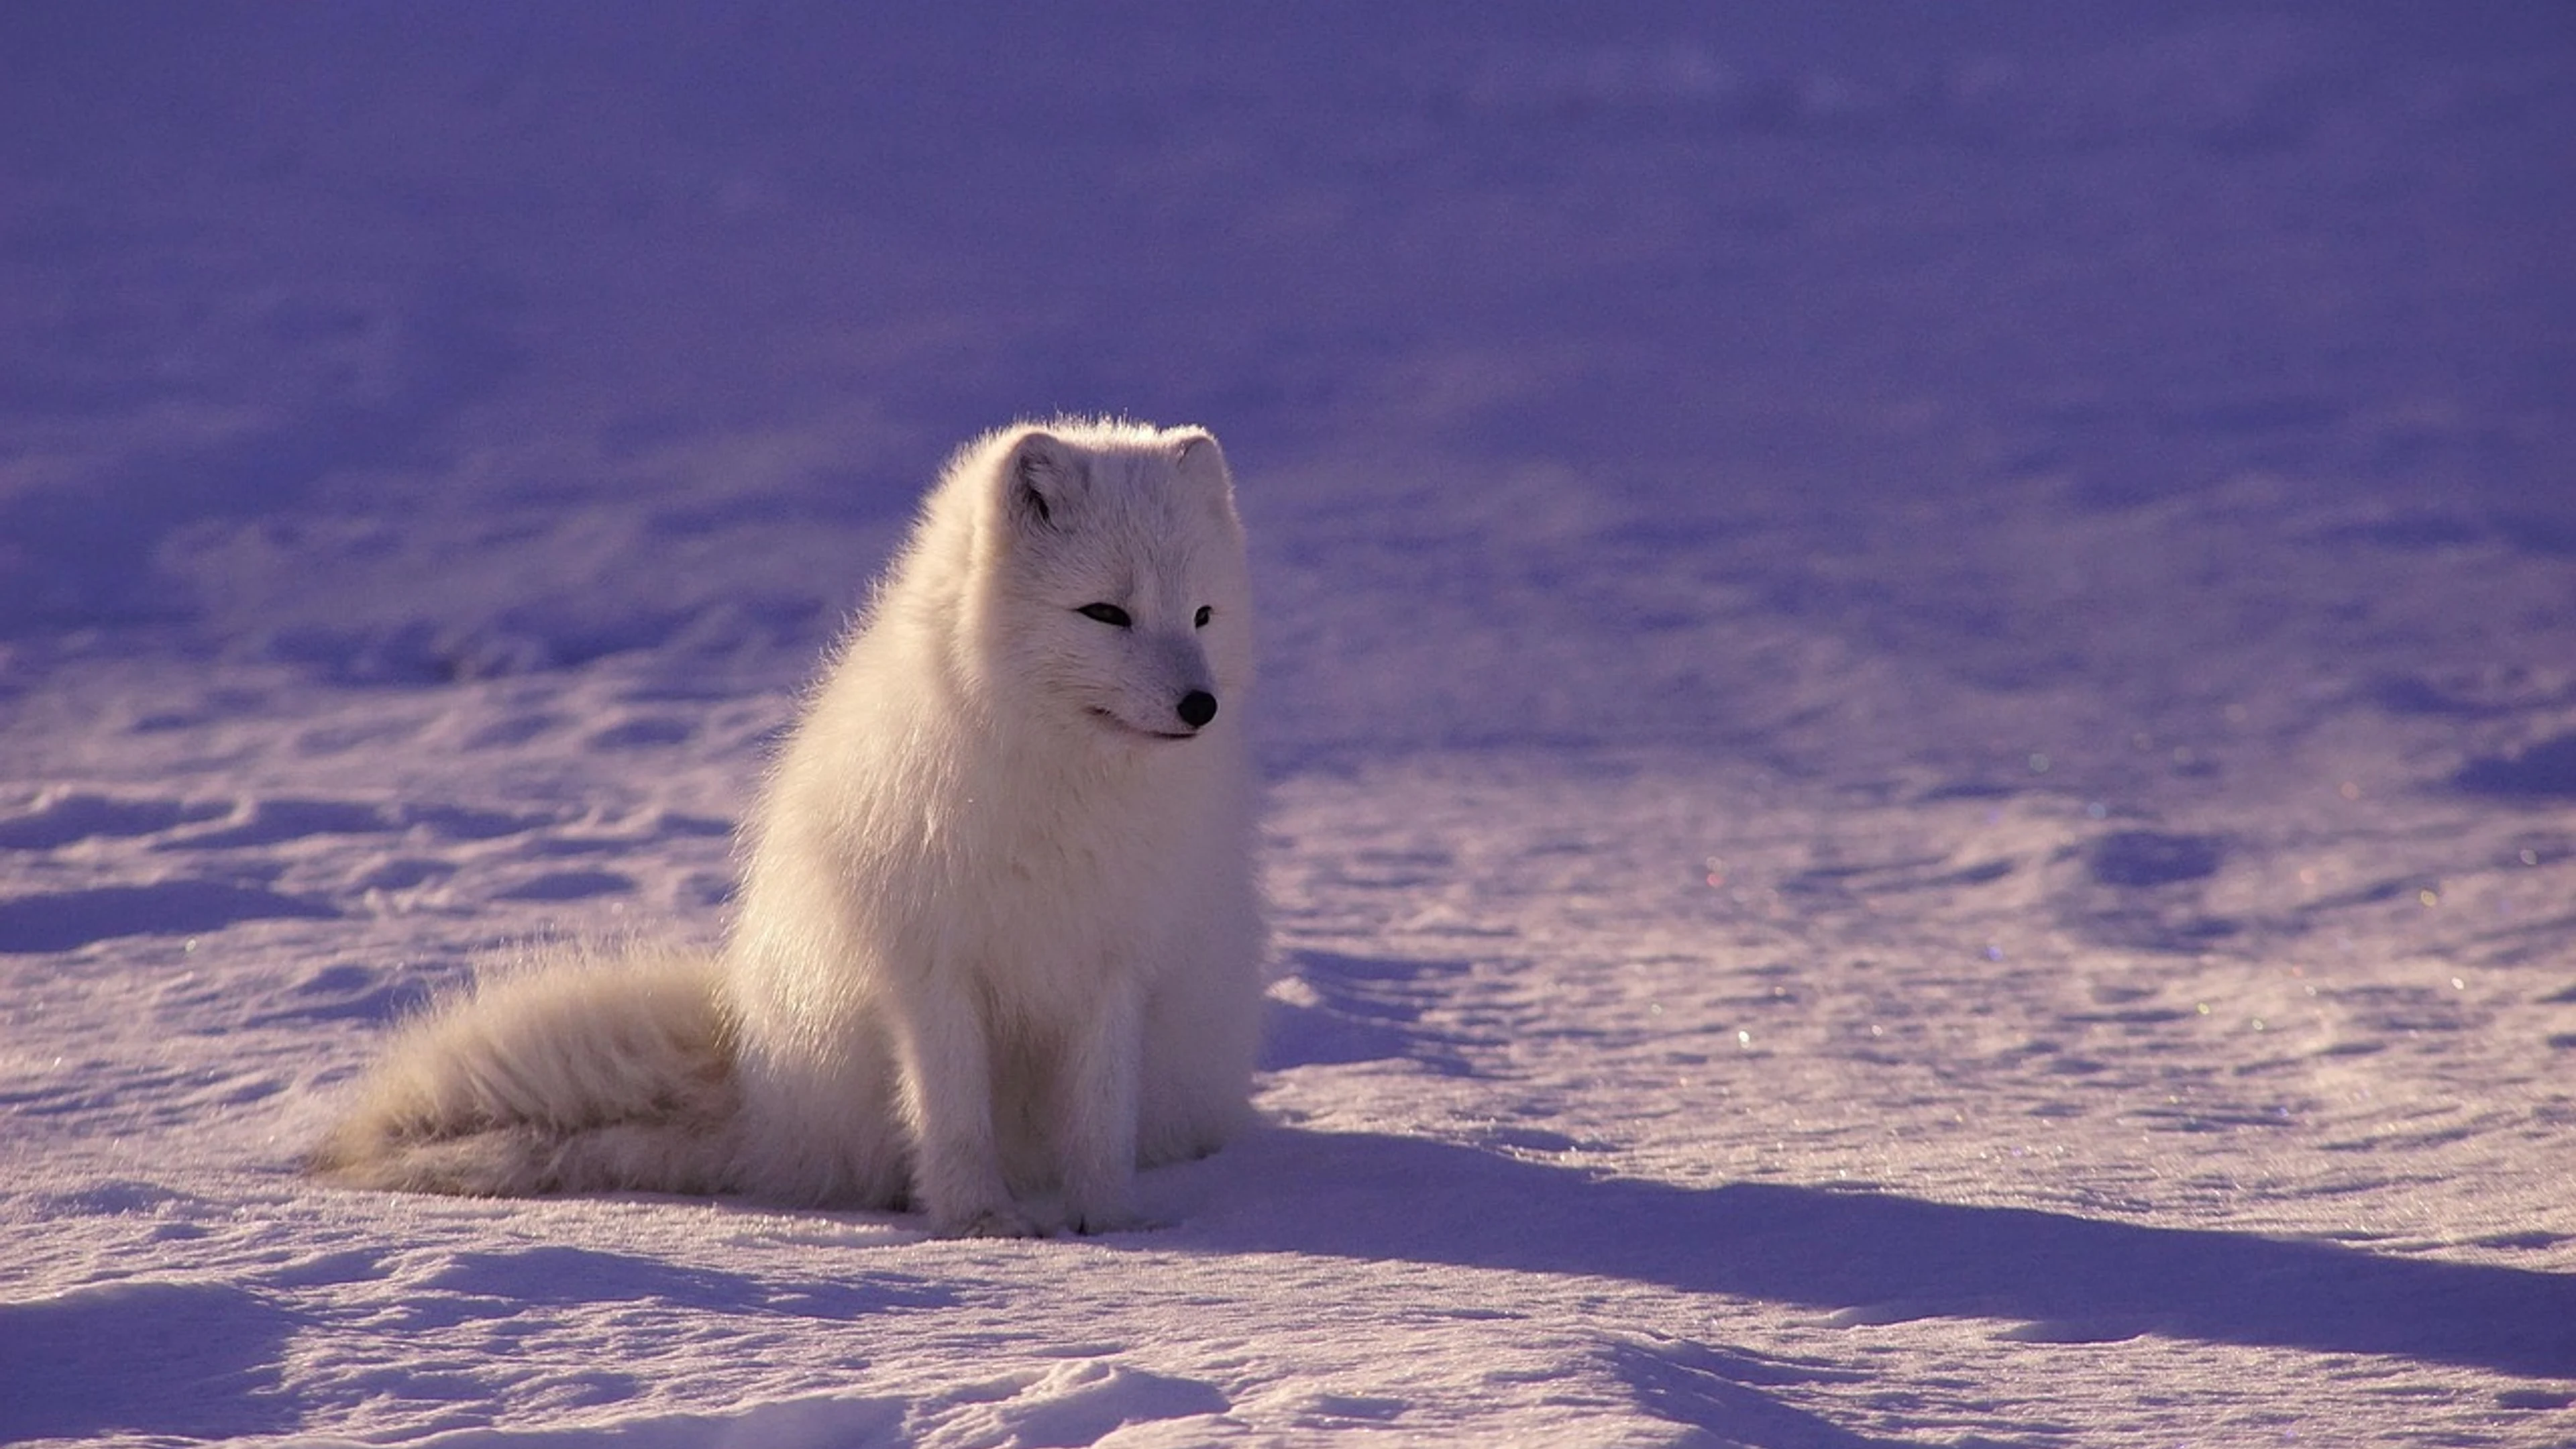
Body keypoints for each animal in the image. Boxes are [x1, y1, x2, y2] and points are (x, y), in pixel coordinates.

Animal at [311, 419, 1268, 1237]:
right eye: (1105, 613)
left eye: (1202, 615)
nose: (1201, 706)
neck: (1065, 789)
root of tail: (759, 1093)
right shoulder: (930, 966)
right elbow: (953, 1114)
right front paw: (981, 1223)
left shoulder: (1116, 965)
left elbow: (1100, 1121)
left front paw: (1108, 1223)